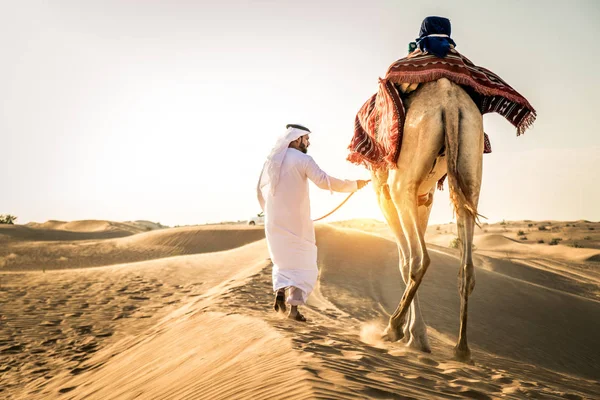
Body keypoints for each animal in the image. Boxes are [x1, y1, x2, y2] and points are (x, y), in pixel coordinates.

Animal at [372, 76, 486, 362]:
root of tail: (450, 102)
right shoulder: (426, 196)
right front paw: (416, 336)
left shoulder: (384, 194)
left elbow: (404, 263)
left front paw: (414, 336)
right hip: (470, 163)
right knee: (466, 269)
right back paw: (462, 349)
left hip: (401, 182)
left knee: (419, 259)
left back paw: (392, 327)